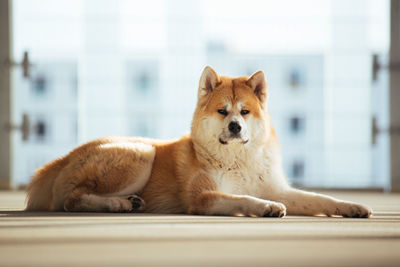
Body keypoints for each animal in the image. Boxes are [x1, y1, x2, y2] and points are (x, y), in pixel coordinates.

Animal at [26, 66, 374, 219]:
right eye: (222, 111)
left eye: (244, 111)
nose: (235, 126)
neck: (238, 160)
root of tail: (63, 158)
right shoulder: (203, 197)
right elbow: (242, 199)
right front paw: (265, 207)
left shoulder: (277, 187)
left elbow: (320, 199)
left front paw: (352, 207)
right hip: (142, 153)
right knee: (73, 199)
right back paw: (117, 204)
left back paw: (130, 202)